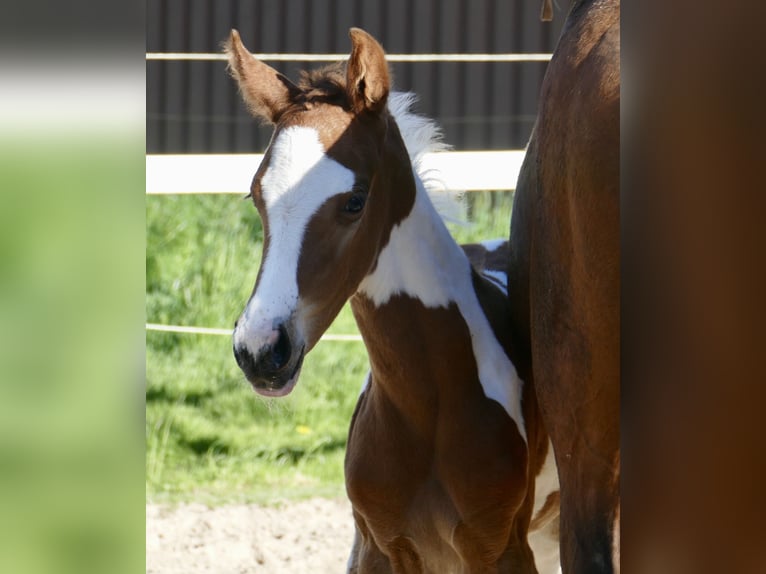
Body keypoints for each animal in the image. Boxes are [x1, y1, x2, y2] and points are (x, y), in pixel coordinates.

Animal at [227, 27, 560, 573]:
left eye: (354, 201)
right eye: (257, 196)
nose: (260, 350)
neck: (427, 405)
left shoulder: (501, 548)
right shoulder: (379, 546)